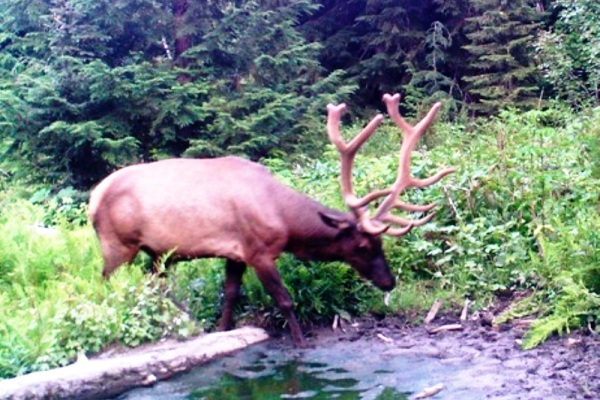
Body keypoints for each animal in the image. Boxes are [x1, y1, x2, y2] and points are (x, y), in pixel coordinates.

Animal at [88, 94, 454, 346]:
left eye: (381, 242)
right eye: (364, 244)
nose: (388, 282)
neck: (285, 222)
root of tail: (92, 200)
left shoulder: (235, 254)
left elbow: (229, 297)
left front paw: (221, 330)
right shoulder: (259, 251)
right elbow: (286, 300)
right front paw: (301, 343)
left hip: (154, 254)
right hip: (117, 245)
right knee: (105, 284)